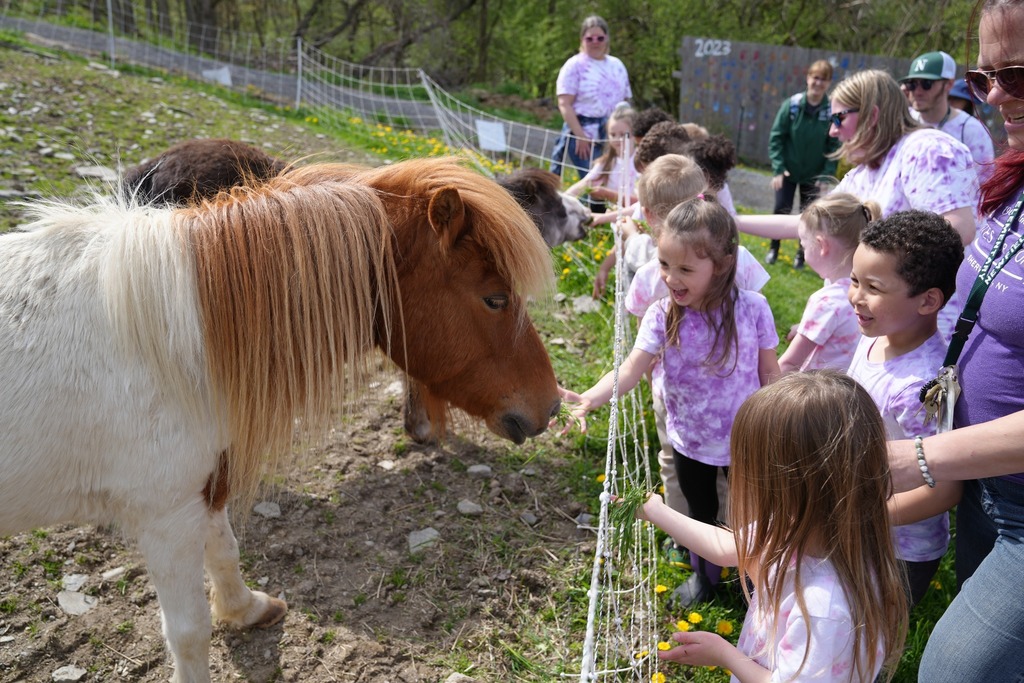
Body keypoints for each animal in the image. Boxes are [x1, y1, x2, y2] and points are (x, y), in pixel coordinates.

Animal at [0, 157, 560, 683]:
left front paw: (245, 609)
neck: (174, 338)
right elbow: (188, 631)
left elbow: (225, 550)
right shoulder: (166, 515)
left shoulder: (208, 486)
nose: (552, 406)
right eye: (494, 298)